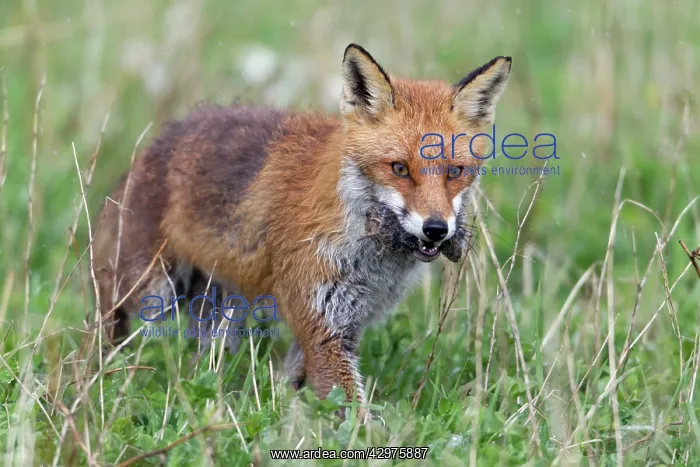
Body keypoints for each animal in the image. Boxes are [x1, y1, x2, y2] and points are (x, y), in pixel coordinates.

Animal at [92, 43, 511, 419]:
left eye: (455, 172)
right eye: (399, 169)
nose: (437, 230)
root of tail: (154, 145)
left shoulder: (340, 324)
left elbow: (292, 381)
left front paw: (283, 415)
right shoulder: (322, 322)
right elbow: (351, 411)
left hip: (220, 313)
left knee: (205, 357)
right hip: (151, 289)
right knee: (104, 311)